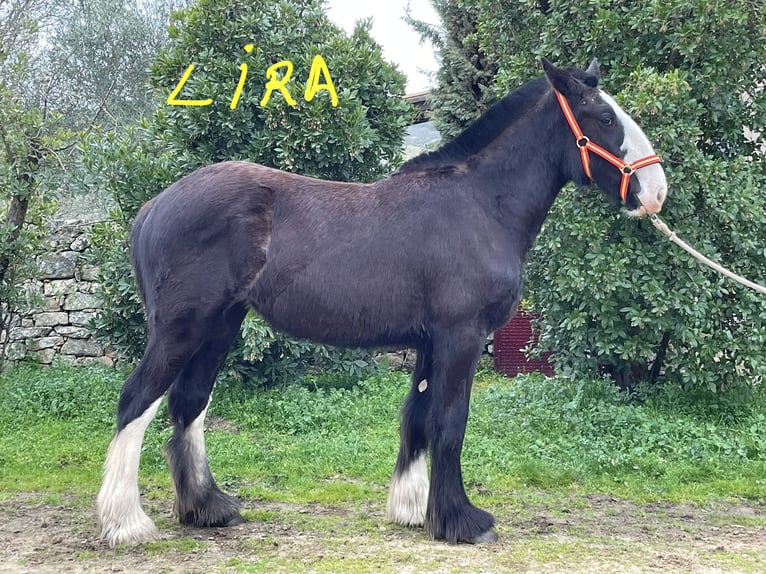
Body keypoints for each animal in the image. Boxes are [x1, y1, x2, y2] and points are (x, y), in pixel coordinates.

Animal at [96, 58, 667, 547]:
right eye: (603, 116)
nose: (656, 191)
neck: (479, 204)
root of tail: (153, 207)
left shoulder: (430, 341)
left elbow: (417, 415)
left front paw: (414, 509)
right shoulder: (461, 335)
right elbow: (450, 421)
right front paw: (462, 521)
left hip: (219, 328)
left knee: (187, 403)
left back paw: (208, 508)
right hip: (182, 329)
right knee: (136, 400)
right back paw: (126, 522)